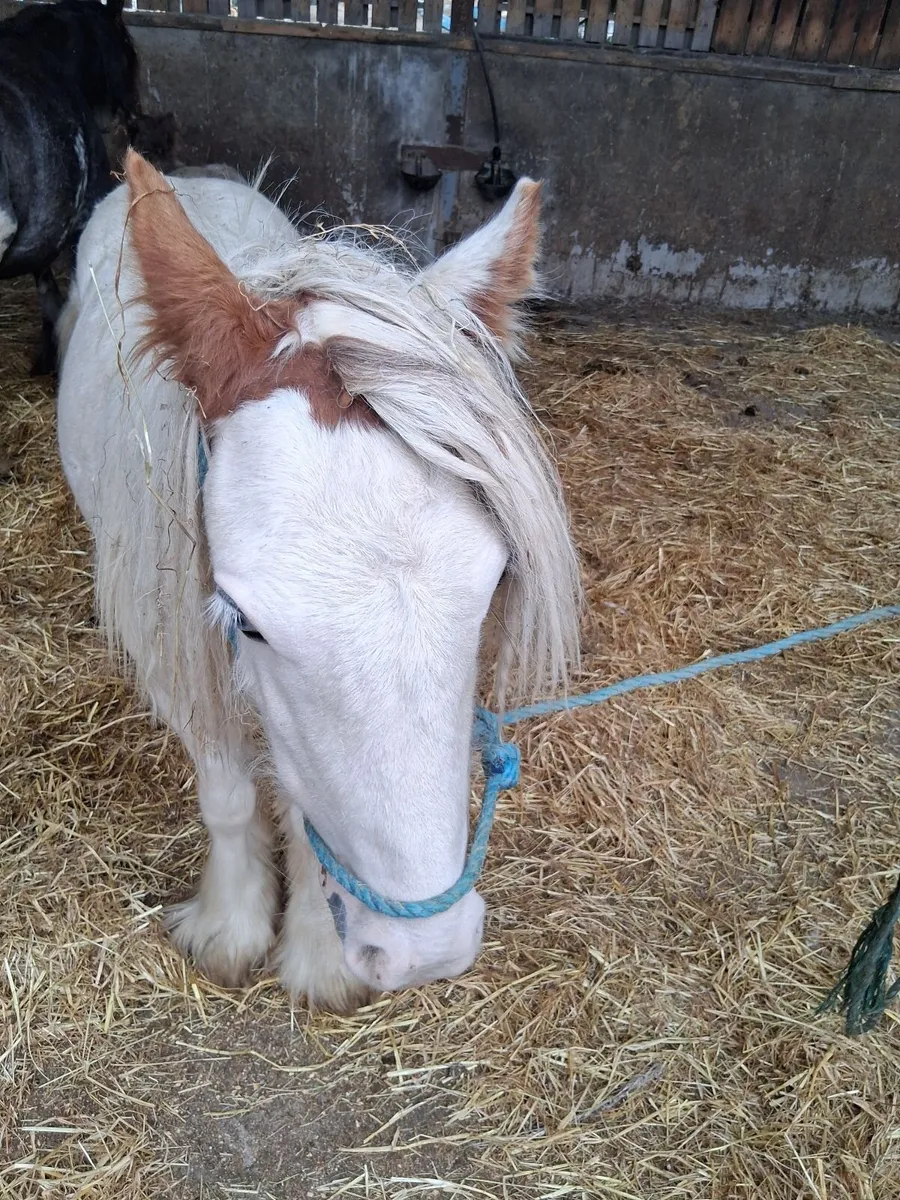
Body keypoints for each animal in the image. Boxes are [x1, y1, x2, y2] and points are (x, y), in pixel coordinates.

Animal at [56, 151, 581, 1011]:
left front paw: (317, 953)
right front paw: (231, 929)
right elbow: (230, 797)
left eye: (494, 585)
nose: (423, 951)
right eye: (247, 620)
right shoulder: (175, 665)